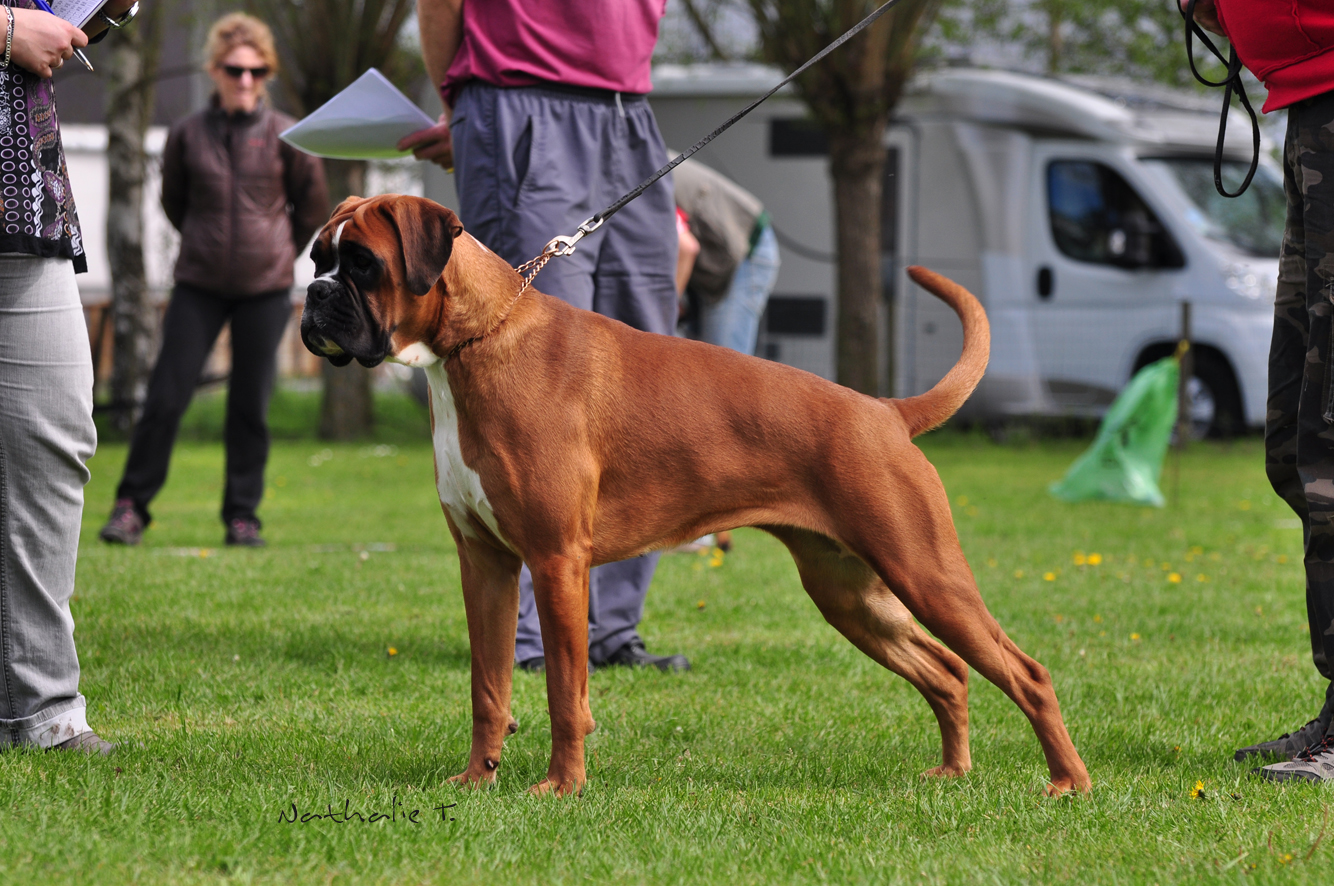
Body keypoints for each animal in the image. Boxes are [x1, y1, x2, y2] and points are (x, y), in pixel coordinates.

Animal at [297, 197, 1088, 800]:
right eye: (317, 258)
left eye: (362, 263)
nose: (315, 295)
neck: (476, 343)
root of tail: (885, 412)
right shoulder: (487, 565)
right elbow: (487, 689)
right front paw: (476, 779)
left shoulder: (556, 562)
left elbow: (564, 692)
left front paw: (561, 787)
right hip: (854, 597)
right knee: (948, 672)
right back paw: (954, 772)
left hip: (925, 574)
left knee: (1026, 672)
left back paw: (1068, 784)